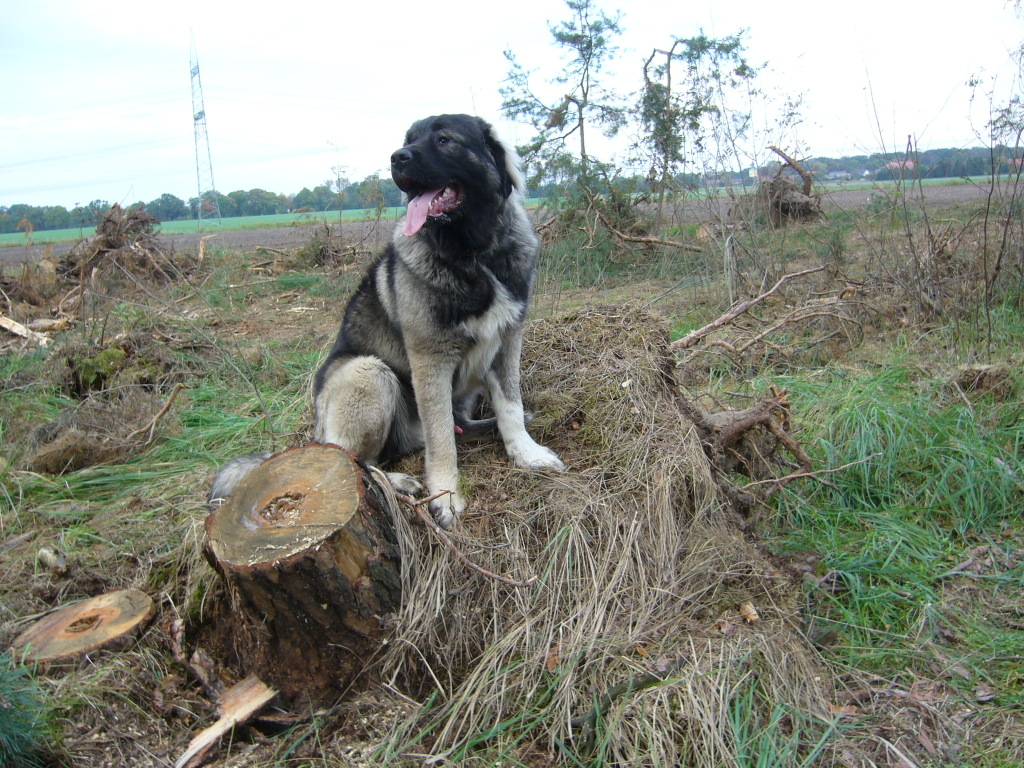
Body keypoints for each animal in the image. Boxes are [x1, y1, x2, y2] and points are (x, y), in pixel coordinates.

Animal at [209, 114, 564, 528]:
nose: (398, 158)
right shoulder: (431, 360)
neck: (472, 254)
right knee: (356, 459)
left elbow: (509, 406)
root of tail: (315, 434)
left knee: (454, 428)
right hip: (368, 372)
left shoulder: (507, 341)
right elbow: (441, 440)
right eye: (408, 139)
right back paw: (397, 480)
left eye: (444, 139)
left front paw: (526, 452)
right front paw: (446, 495)